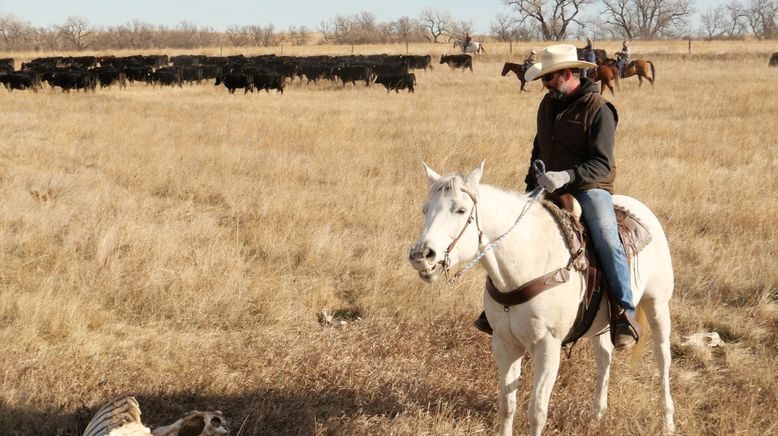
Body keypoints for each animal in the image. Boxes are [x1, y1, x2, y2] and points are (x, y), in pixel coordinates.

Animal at [406, 162, 672, 434]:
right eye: (425, 209)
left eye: (461, 210)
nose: (421, 255)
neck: (527, 261)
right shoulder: (505, 344)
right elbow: (506, 405)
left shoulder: (547, 346)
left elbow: (537, 412)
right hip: (602, 323)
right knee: (604, 357)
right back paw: (597, 415)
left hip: (657, 304)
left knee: (663, 357)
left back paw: (668, 420)